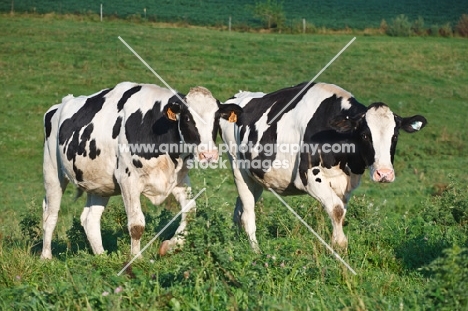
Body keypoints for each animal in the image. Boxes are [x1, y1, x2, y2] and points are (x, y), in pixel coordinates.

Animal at [41, 81, 241, 260]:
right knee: (50, 216)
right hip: (52, 171)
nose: (209, 155)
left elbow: (190, 212)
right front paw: (136, 258)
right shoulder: (128, 179)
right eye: (187, 118)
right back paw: (46, 257)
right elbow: (136, 224)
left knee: (90, 219)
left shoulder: (179, 179)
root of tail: (59, 105)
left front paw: (170, 246)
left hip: (100, 184)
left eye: (216, 119)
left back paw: (101, 257)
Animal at [221, 81, 426, 252]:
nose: (384, 174)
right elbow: (336, 209)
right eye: (365, 135)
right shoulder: (309, 177)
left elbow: (341, 211)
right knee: (247, 214)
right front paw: (340, 245)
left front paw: (337, 244)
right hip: (238, 169)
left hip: (255, 179)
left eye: (395, 136)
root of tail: (238, 96)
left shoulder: (346, 185)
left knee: (239, 211)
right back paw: (256, 252)